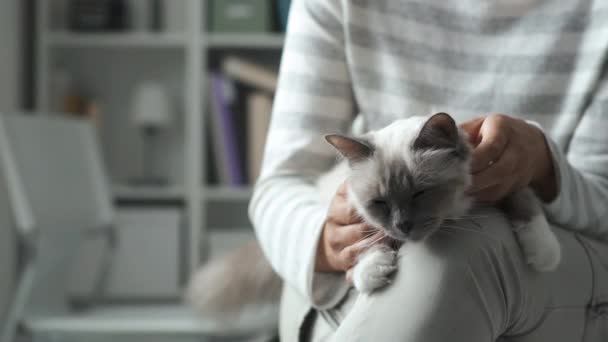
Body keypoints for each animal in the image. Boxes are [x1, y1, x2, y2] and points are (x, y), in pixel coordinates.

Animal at [185, 113, 560, 322]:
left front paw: (543, 253)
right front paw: (372, 271)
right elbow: (367, 239)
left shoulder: (502, 178)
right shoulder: (352, 215)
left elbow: (525, 201)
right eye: (380, 202)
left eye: (420, 194)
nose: (403, 226)